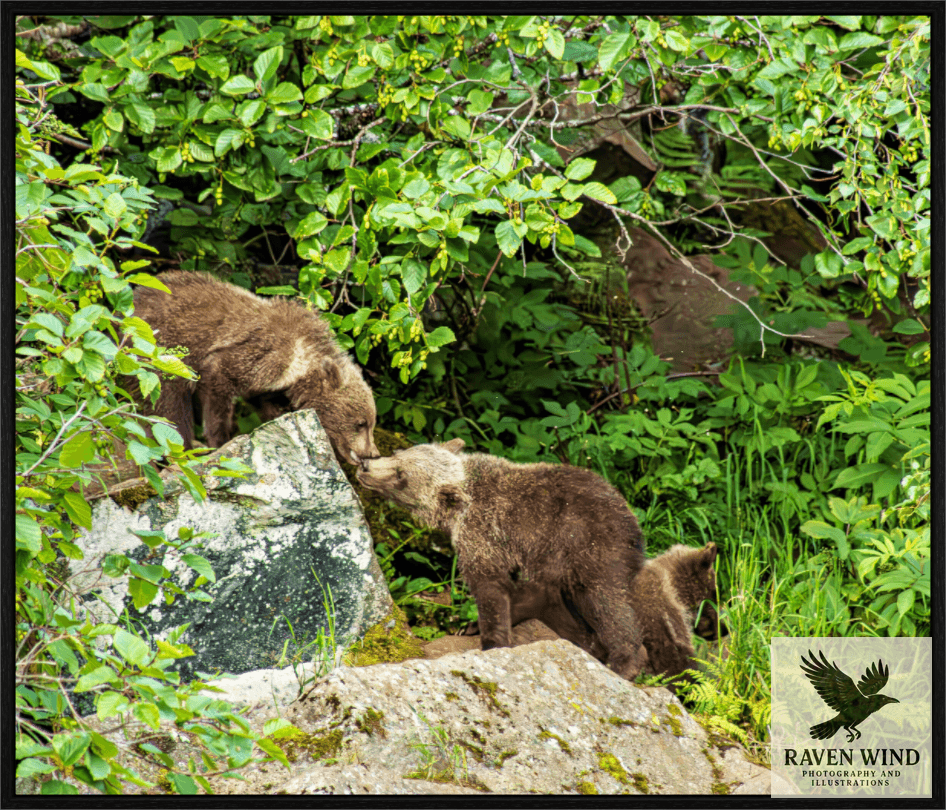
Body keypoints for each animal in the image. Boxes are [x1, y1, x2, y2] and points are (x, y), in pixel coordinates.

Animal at [130, 272, 379, 463]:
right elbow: (218, 392)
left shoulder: (268, 382)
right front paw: (220, 440)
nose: (372, 453)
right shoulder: (257, 356)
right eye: (361, 423)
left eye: (371, 422)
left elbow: (262, 400)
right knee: (167, 405)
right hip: (158, 352)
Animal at [356, 438, 649, 680]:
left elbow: (490, 589)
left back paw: (623, 662)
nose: (365, 465)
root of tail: (632, 521)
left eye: (401, 475)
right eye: (397, 453)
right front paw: (471, 626)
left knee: (608, 603)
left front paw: (491, 641)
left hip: (589, 547)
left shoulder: (484, 535)